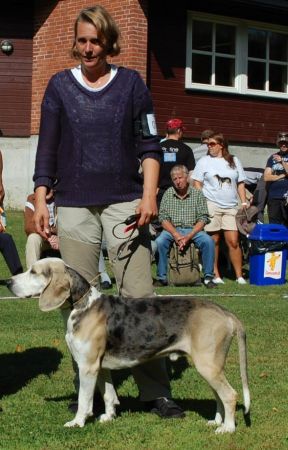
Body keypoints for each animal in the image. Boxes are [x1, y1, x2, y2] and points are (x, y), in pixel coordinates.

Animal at [6, 258, 250, 434]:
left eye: (34, 272)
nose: (8, 282)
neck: (82, 306)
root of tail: (225, 313)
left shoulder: (87, 367)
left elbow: (84, 400)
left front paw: (78, 422)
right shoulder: (100, 367)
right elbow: (108, 395)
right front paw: (108, 417)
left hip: (207, 366)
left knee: (230, 395)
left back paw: (228, 428)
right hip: (210, 368)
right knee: (219, 396)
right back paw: (216, 422)